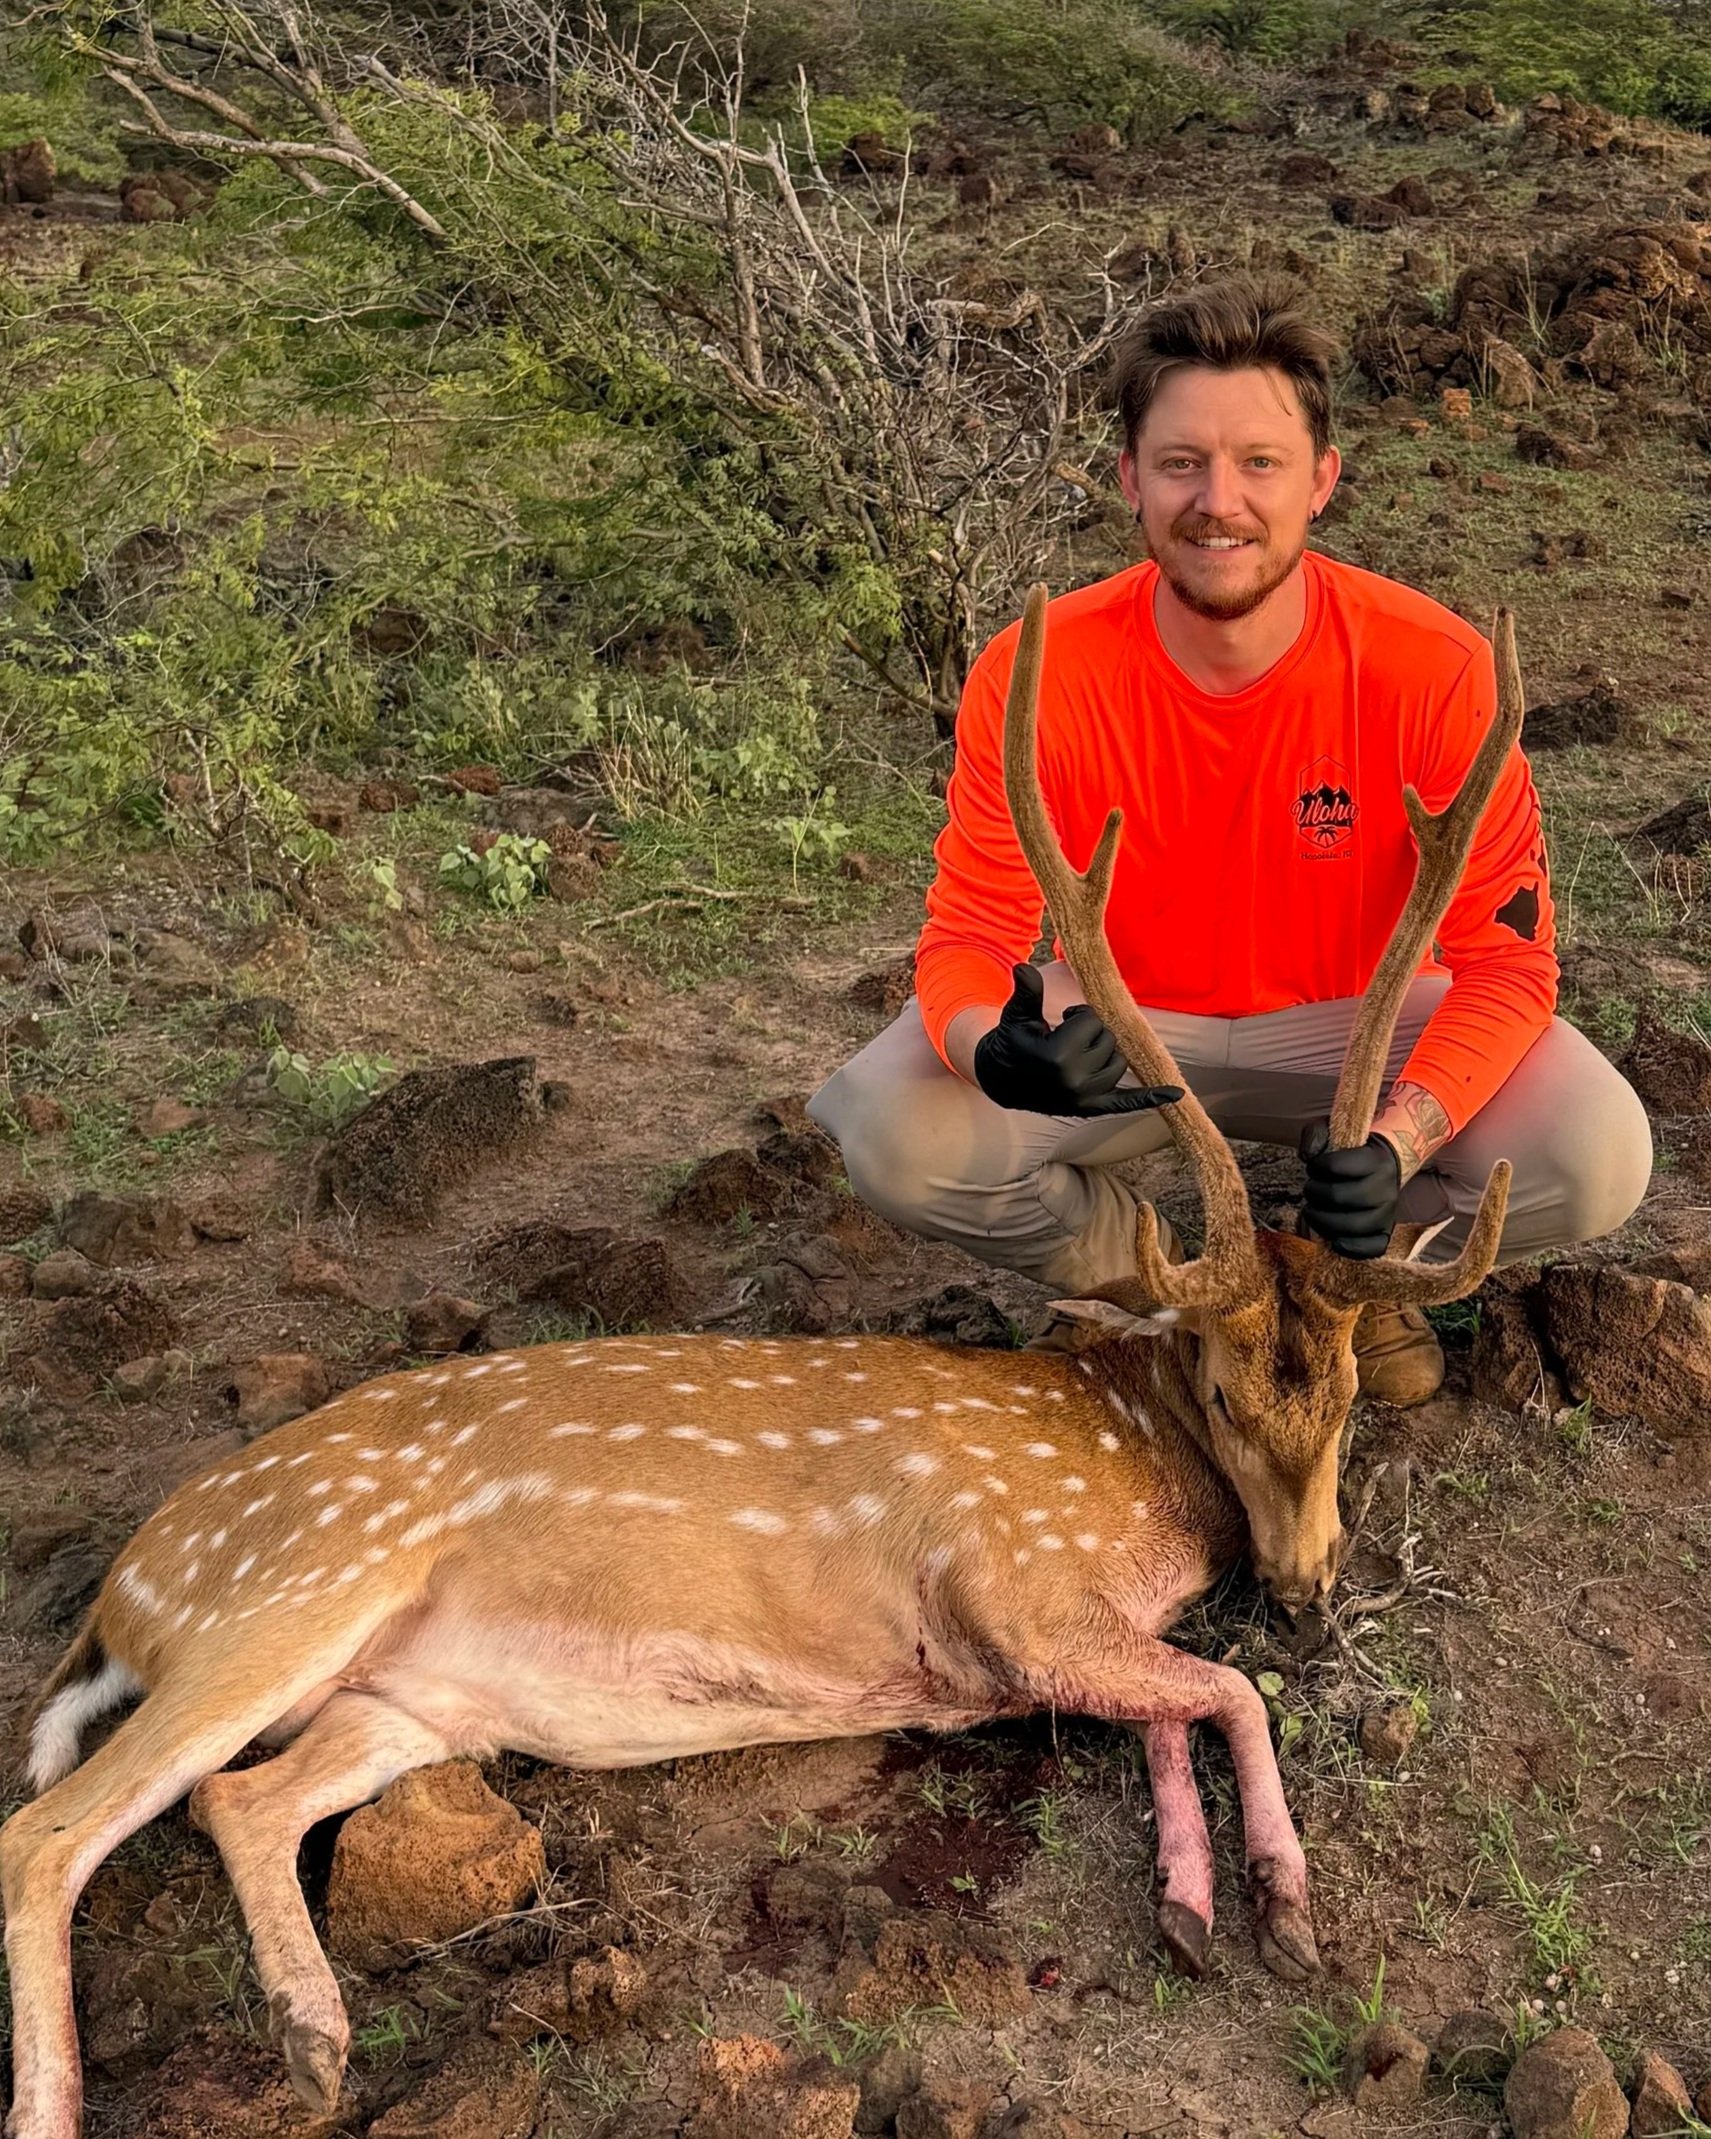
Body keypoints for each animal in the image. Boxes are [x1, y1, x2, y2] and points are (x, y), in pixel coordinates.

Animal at [1, 586, 1523, 2139]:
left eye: (1349, 1392)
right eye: (1220, 1388)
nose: (1305, 1589)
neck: (1137, 1474)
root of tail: (121, 1592)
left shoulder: (1091, 1626)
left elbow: (1180, 1703)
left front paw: (1190, 1904)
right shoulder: (1006, 1581)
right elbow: (1226, 1691)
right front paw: (1277, 1900)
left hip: (403, 1699)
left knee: (237, 1800)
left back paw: (314, 2039)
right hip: (280, 1597)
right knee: (49, 1825)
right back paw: (83, 2094)